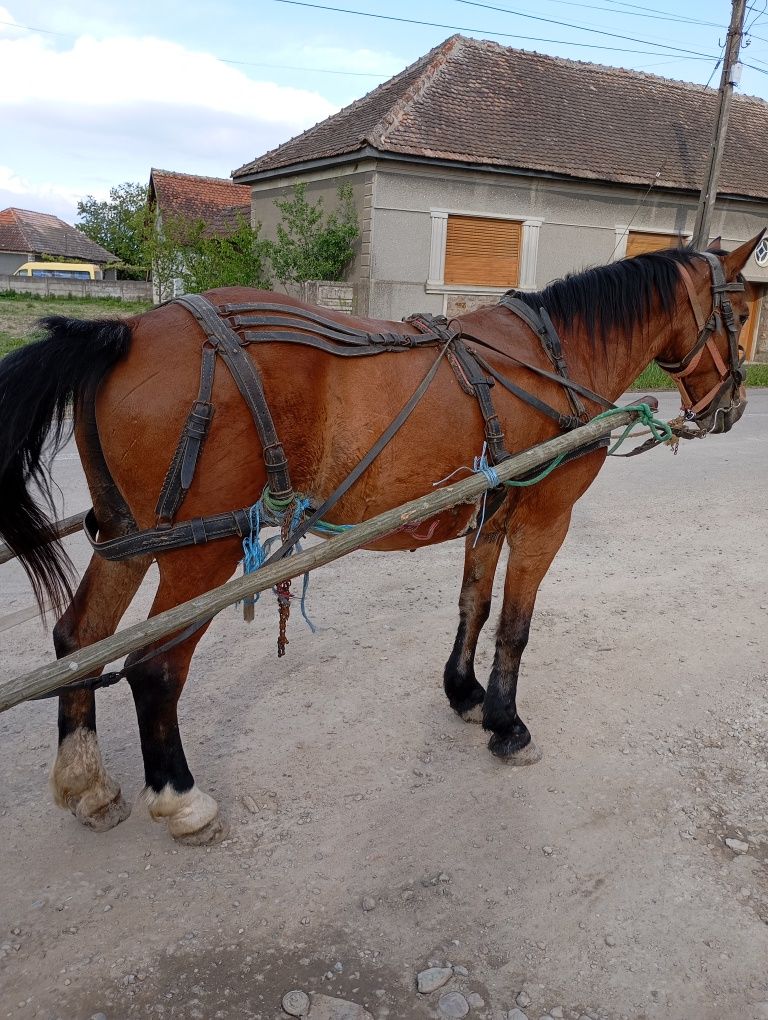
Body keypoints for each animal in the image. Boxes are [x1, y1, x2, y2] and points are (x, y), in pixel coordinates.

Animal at [0, 233, 754, 844]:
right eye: (742, 315)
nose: (734, 407)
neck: (556, 355)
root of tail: (124, 334)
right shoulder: (545, 517)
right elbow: (515, 626)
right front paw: (507, 724)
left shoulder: (490, 513)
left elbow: (473, 605)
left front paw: (464, 693)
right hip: (198, 553)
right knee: (154, 667)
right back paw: (181, 799)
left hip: (128, 536)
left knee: (80, 639)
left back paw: (88, 784)